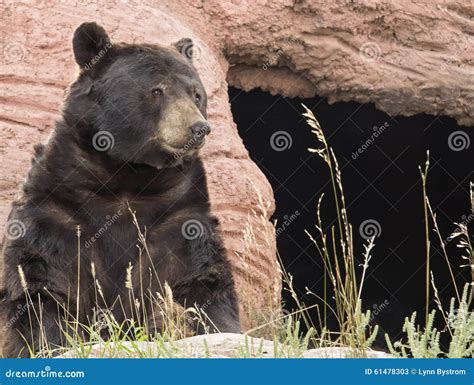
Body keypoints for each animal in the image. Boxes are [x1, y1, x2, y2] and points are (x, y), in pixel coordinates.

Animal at [0, 21, 239, 356]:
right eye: (157, 90)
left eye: (196, 95)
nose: (199, 128)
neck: (126, 175)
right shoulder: (57, 208)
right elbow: (42, 282)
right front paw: (45, 341)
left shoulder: (178, 216)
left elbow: (201, 277)